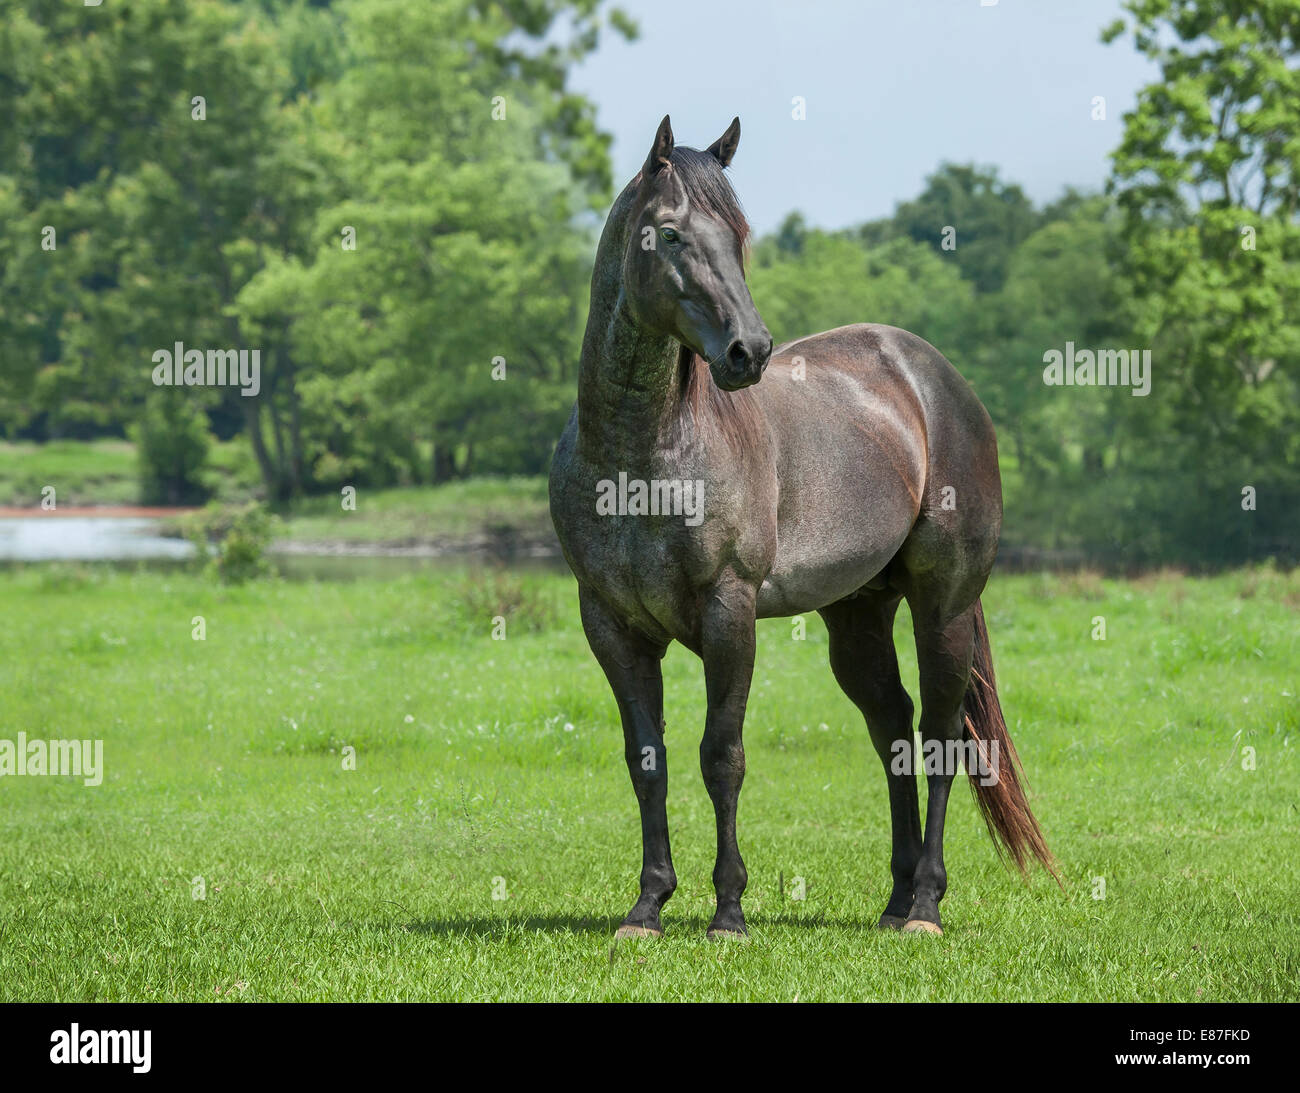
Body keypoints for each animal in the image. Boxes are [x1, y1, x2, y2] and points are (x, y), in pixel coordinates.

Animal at [548, 116, 1055, 935]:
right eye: (670, 235)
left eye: (737, 235)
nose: (748, 352)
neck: (642, 455)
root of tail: (939, 380)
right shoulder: (611, 624)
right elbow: (646, 759)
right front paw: (648, 904)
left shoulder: (729, 611)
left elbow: (722, 755)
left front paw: (728, 911)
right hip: (858, 615)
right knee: (893, 727)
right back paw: (893, 900)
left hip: (943, 605)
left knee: (941, 735)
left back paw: (924, 903)